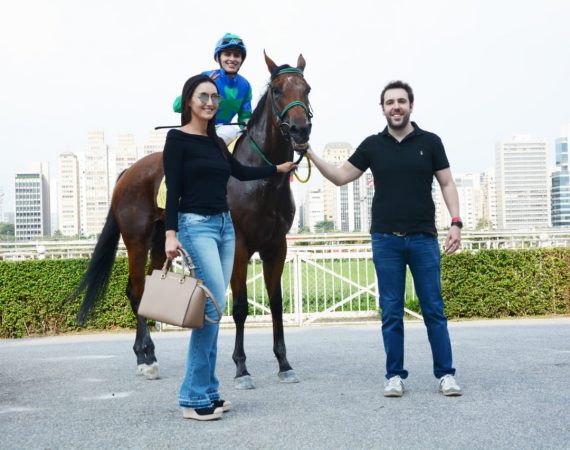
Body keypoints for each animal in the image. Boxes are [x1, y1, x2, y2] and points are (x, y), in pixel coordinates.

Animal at [69, 52, 312, 387]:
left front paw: (284, 363)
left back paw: (144, 354)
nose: (301, 130)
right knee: (136, 290)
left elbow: (276, 302)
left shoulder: (277, 246)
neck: (260, 180)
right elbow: (239, 306)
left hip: (162, 241)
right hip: (136, 239)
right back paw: (147, 359)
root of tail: (127, 171)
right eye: (277, 90)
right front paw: (241, 368)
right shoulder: (239, 246)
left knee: (147, 287)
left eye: (307, 89)